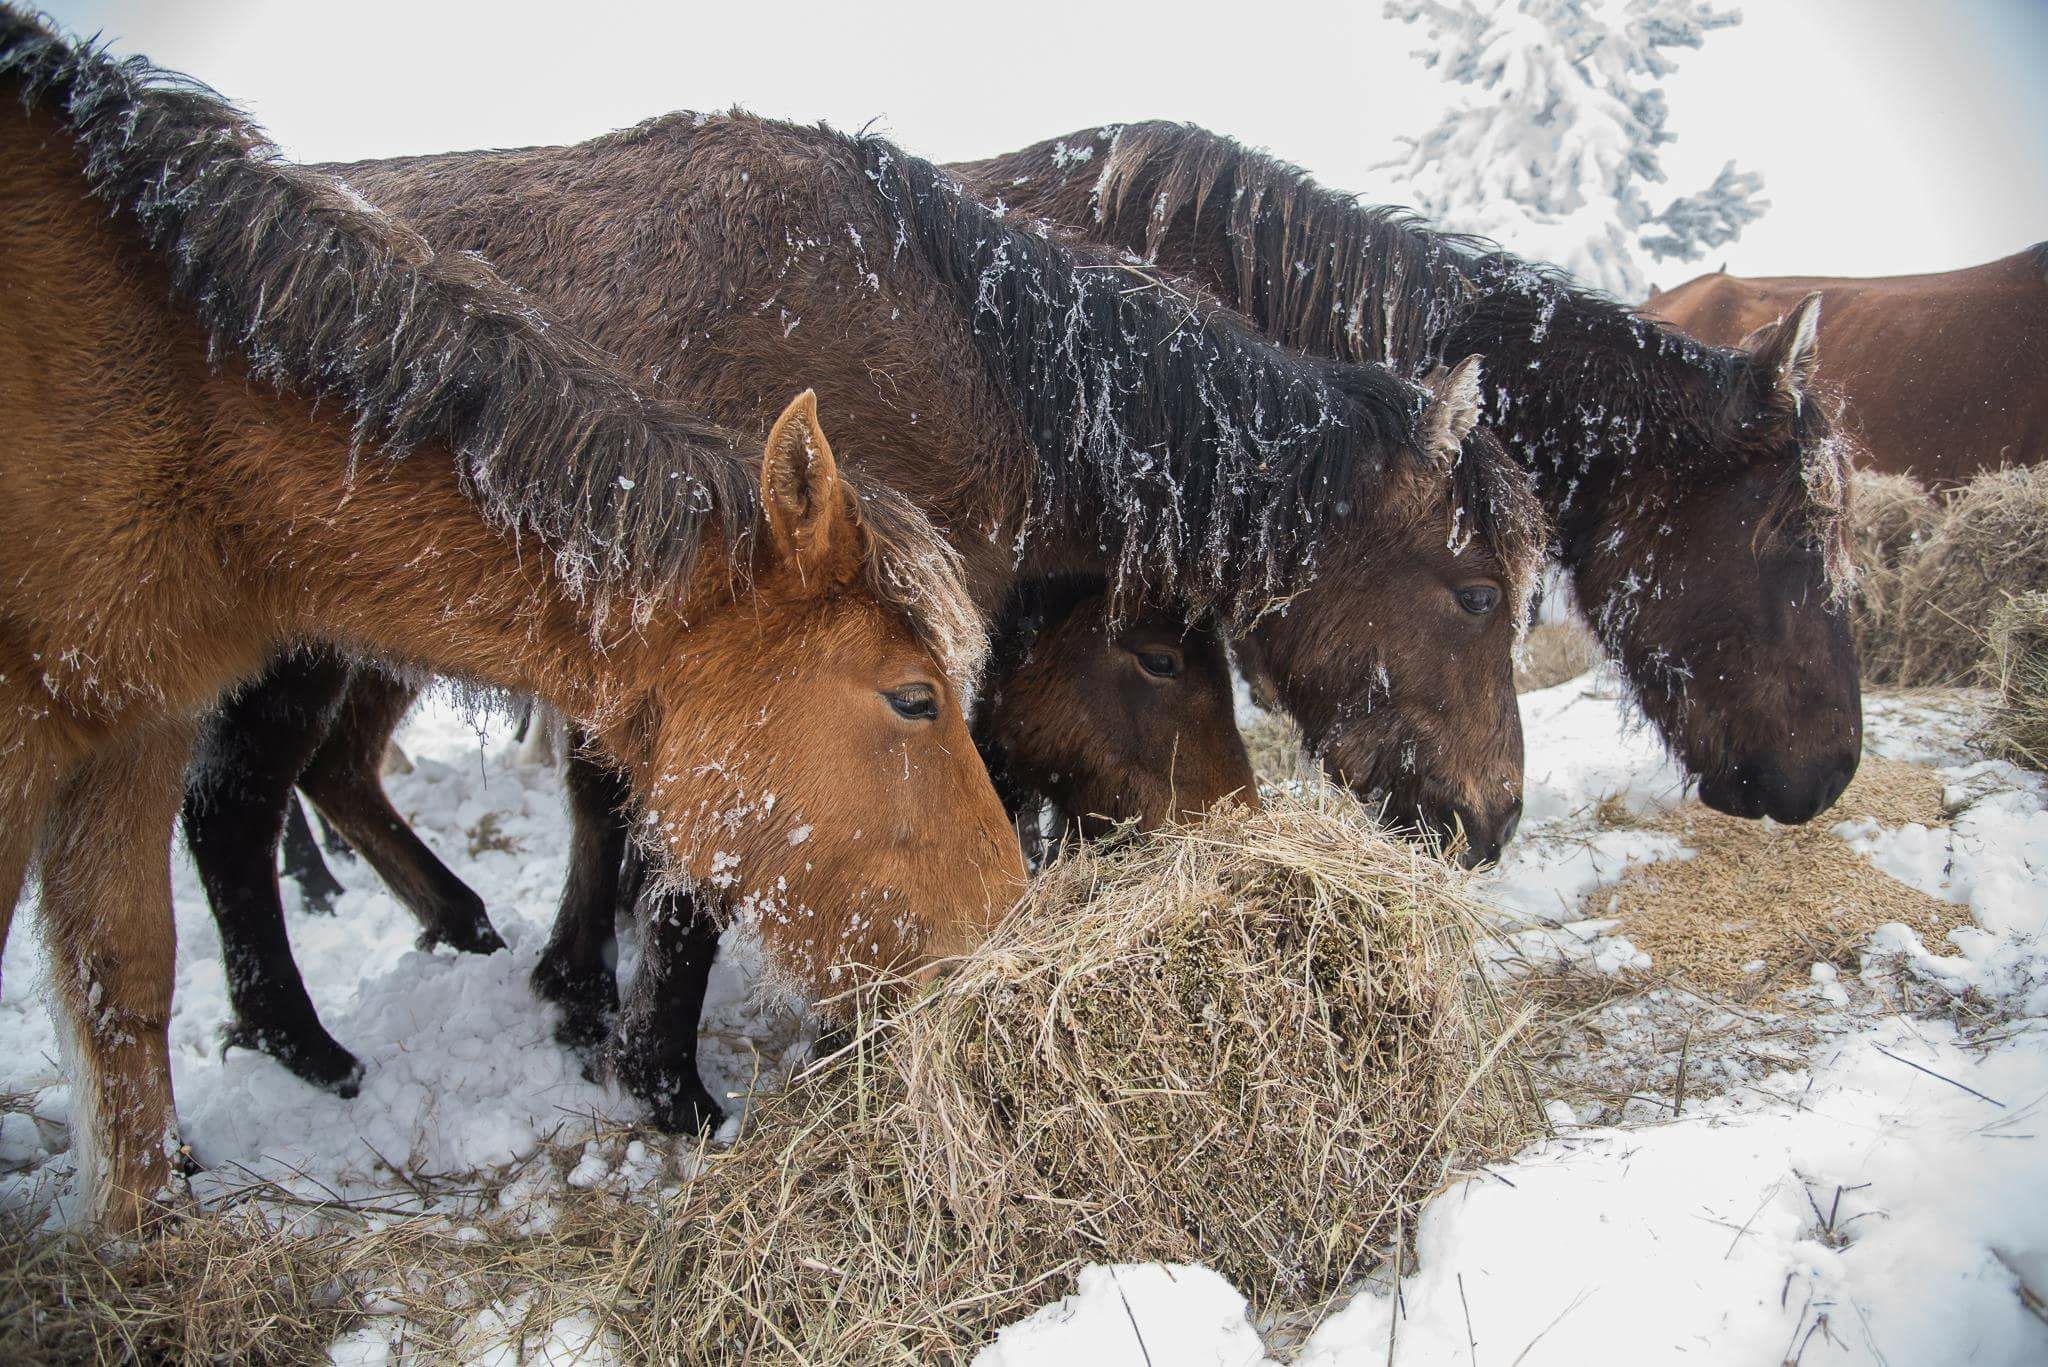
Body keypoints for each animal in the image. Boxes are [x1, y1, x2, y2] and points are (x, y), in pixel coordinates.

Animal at [0, 10, 1024, 1229]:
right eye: (914, 698)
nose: (1009, 926)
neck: (173, 389)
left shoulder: (132, 727)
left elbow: (124, 985)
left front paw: (143, 1234)